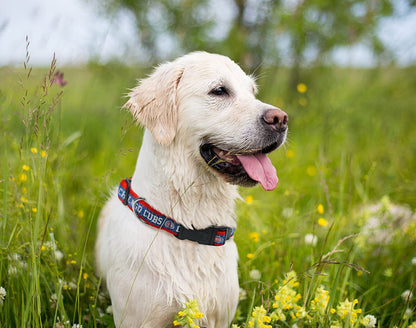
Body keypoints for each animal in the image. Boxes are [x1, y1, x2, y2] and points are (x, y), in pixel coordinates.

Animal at [95, 52, 288, 326]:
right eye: (219, 91)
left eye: (252, 92)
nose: (280, 119)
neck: (189, 227)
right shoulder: (137, 318)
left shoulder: (220, 317)